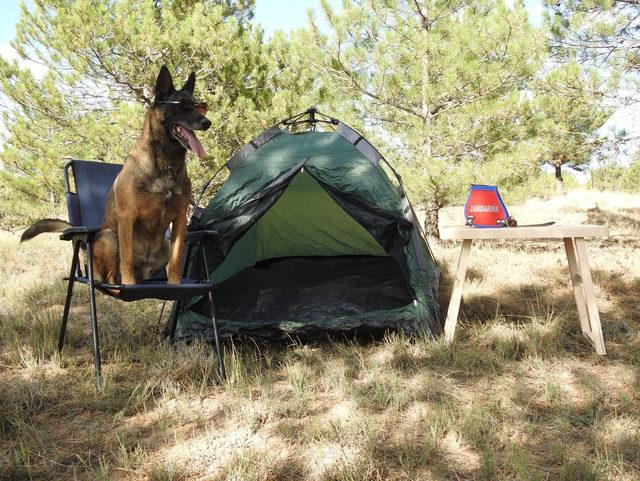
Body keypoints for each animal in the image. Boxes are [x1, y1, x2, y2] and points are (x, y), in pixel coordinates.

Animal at [21, 65, 211, 284]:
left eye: (200, 107)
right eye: (184, 106)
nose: (207, 122)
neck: (165, 163)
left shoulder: (180, 219)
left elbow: (177, 259)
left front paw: (174, 283)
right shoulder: (127, 217)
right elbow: (126, 258)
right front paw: (129, 284)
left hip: (164, 243)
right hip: (108, 237)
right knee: (110, 276)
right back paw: (118, 283)